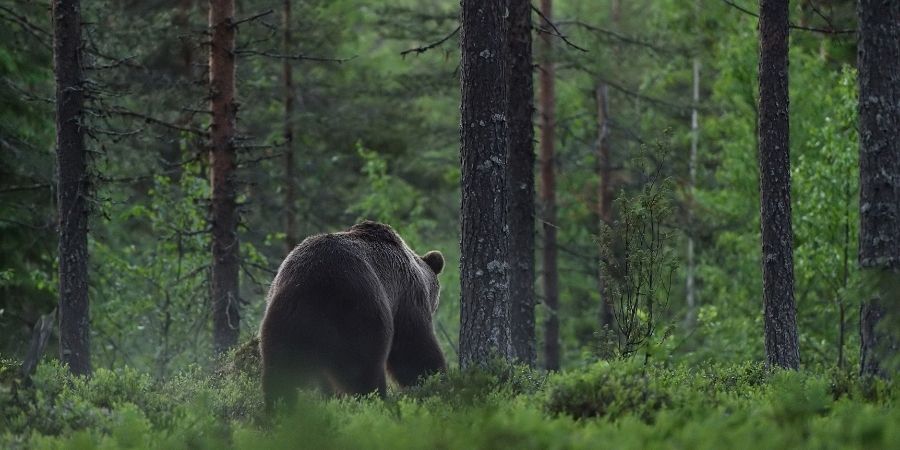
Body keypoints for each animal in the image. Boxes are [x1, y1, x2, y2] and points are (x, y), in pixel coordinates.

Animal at [258, 220, 444, 410]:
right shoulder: (406, 298)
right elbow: (413, 345)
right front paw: (435, 378)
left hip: (285, 319)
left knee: (281, 372)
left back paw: (282, 408)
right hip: (358, 312)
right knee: (364, 368)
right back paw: (374, 401)